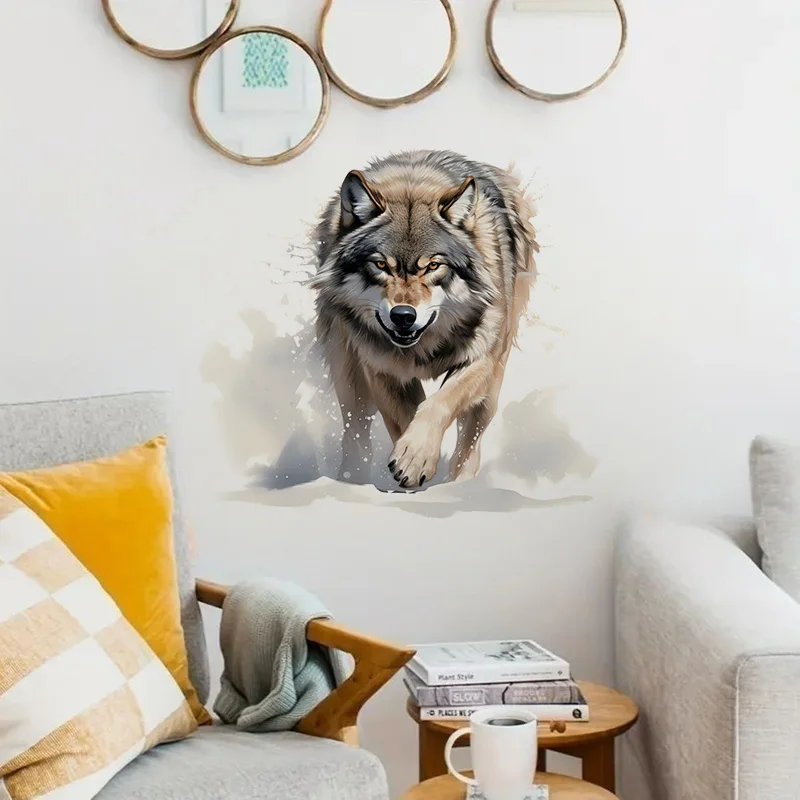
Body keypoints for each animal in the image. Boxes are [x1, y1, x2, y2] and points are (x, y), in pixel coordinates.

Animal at [312, 150, 538, 487]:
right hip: (347, 372)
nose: (403, 316)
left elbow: (438, 403)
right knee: (356, 431)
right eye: (381, 264)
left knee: (468, 444)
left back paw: (461, 486)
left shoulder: (480, 360)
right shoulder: (382, 370)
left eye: (433, 266)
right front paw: (412, 463)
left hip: (490, 393)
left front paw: (416, 457)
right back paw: (351, 480)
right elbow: (407, 417)